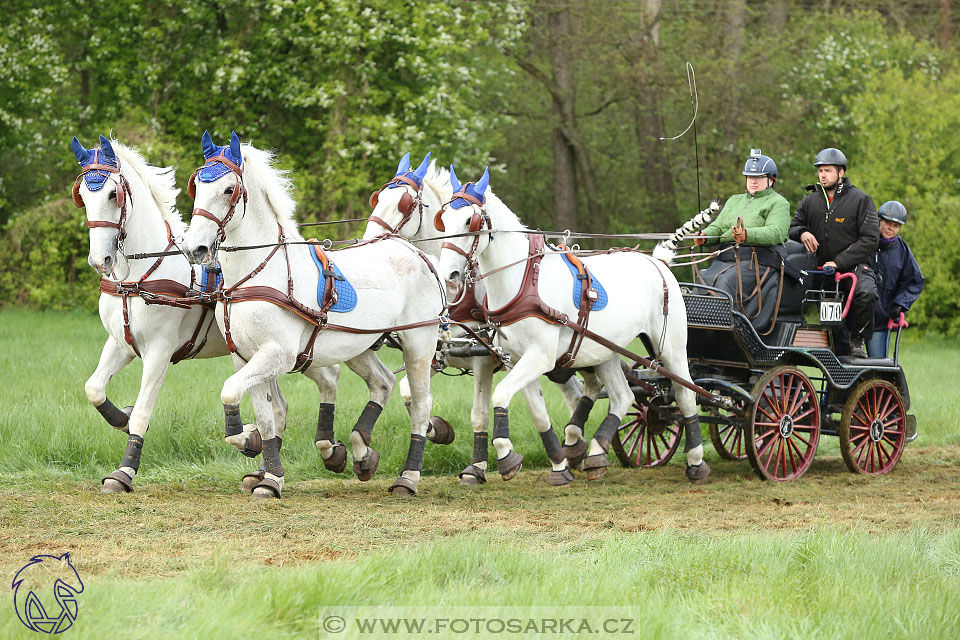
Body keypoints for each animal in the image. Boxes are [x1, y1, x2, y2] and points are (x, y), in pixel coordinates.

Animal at [72, 136, 334, 496]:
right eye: (83, 196)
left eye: (114, 194)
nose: (101, 260)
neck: (138, 275)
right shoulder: (120, 343)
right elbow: (94, 388)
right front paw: (120, 417)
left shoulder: (159, 351)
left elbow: (143, 413)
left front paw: (124, 471)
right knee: (278, 408)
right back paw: (265, 468)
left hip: (301, 353)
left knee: (330, 378)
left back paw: (336, 452)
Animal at [181, 132, 446, 498]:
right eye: (196, 186)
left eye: (228, 189)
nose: (194, 247)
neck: (257, 274)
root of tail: (415, 251)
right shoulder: (244, 357)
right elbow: (265, 416)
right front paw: (268, 472)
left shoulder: (277, 354)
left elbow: (230, 392)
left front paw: (252, 447)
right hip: (358, 346)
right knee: (383, 382)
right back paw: (361, 453)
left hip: (419, 343)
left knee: (420, 407)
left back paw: (407, 477)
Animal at [364, 155, 588, 484]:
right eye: (377, 199)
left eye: (403, 204)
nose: (368, 241)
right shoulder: (438, 352)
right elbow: (412, 395)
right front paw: (438, 429)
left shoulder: (483, 356)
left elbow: (479, 412)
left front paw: (482, 465)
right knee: (575, 394)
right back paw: (578, 451)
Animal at [438, 168, 708, 482]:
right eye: (443, 220)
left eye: (470, 221)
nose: (448, 275)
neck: (524, 281)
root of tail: (658, 262)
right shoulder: (515, 359)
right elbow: (535, 411)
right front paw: (556, 465)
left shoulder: (540, 356)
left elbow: (501, 393)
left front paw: (506, 456)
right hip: (606, 351)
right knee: (623, 395)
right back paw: (596, 453)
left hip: (672, 349)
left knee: (686, 395)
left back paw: (696, 462)